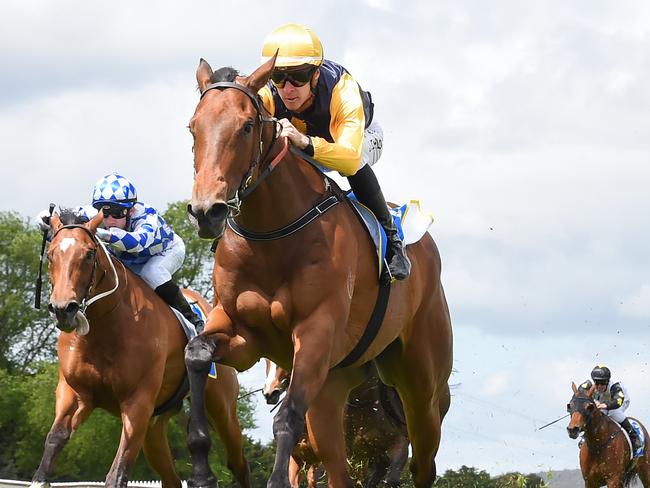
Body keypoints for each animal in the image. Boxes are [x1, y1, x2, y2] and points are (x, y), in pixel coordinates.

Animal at [32, 212, 251, 488]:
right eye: (51, 254)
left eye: (89, 254)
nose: (63, 310)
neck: (105, 329)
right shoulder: (75, 394)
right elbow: (53, 442)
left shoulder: (138, 402)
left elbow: (118, 472)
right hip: (155, 427)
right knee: (171, 477)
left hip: (222, 406)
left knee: (238, 463)